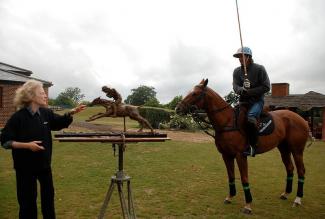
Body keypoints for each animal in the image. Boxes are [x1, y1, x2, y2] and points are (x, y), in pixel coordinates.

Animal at [175, 79, 308, 214]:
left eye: (195, 93)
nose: (177, 108)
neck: (227, 121)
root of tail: (303, 120)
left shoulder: (240, 155)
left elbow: (244, 178)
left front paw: (248, 205)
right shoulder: (226, 155)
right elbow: (231, 176)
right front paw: (230, 197)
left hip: (297, 150)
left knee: (301, 170)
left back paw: (297, 199)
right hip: (283, 149)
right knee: (290, 168)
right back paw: (286, 194)